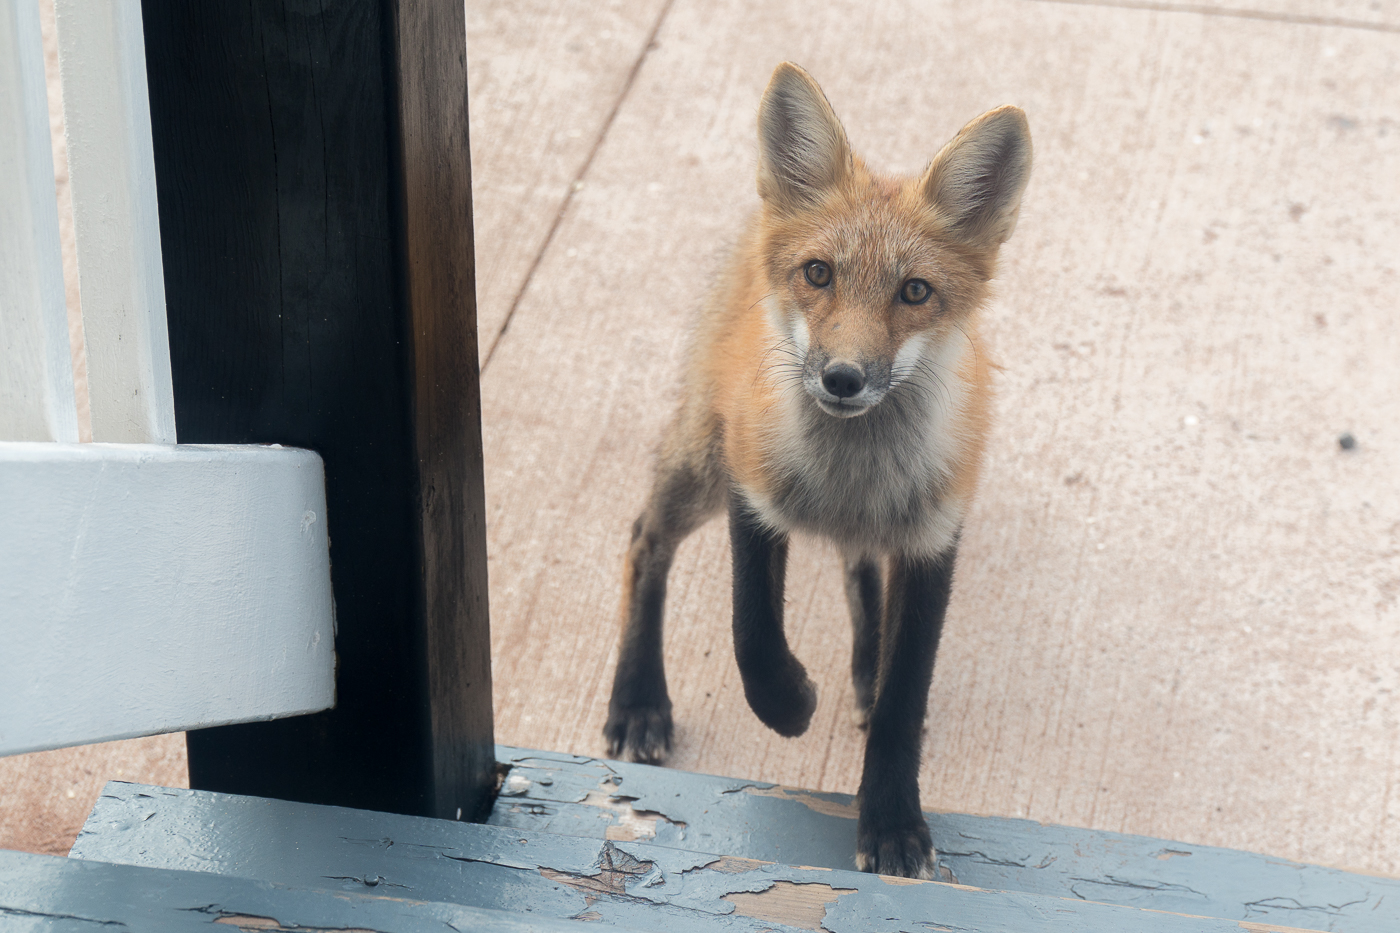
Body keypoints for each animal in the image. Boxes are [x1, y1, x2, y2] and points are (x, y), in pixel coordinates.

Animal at [604, 61, 1030, 874]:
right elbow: (753, 636)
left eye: (915, 291)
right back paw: (638, 698)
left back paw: (864, 667)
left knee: (858, 570)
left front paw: (892, 821)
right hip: (701, 463)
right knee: (644, 540)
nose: (842, 378)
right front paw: (791, 703)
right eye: (819, 273)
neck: (848, 480)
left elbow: (903, 699)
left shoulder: (933, 539)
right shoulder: (752, 489)